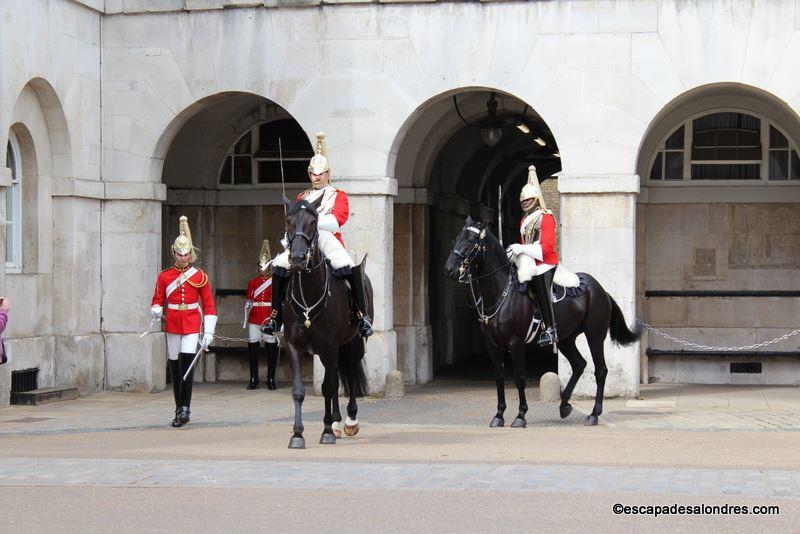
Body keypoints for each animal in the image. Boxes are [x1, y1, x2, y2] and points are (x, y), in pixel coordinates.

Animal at [282, 197, 372, 448]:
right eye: (289, 220)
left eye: (314, 221)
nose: (297, 258)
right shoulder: (293, 345)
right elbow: (299, 390)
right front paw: (297, 434)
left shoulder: (330, 345)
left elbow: (328, 387)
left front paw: (327, 431)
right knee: (336, 377)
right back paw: (336, 422)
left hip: (353, 343)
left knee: (350, 373)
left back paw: (349, 421)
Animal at [440, 217, 640, 428]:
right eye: (456, 239)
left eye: (471, 241)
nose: (449, 269)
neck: (501, 293)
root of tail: (600, 289)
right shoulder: (492, 345)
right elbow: (499, 378)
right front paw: (499, 415)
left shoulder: (516, 343)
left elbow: (519, 378)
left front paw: (520, 415)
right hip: (565, 339)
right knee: (579, 365)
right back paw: (564, 405)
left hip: (594, 336)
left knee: (600, 370)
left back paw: (593, 414)